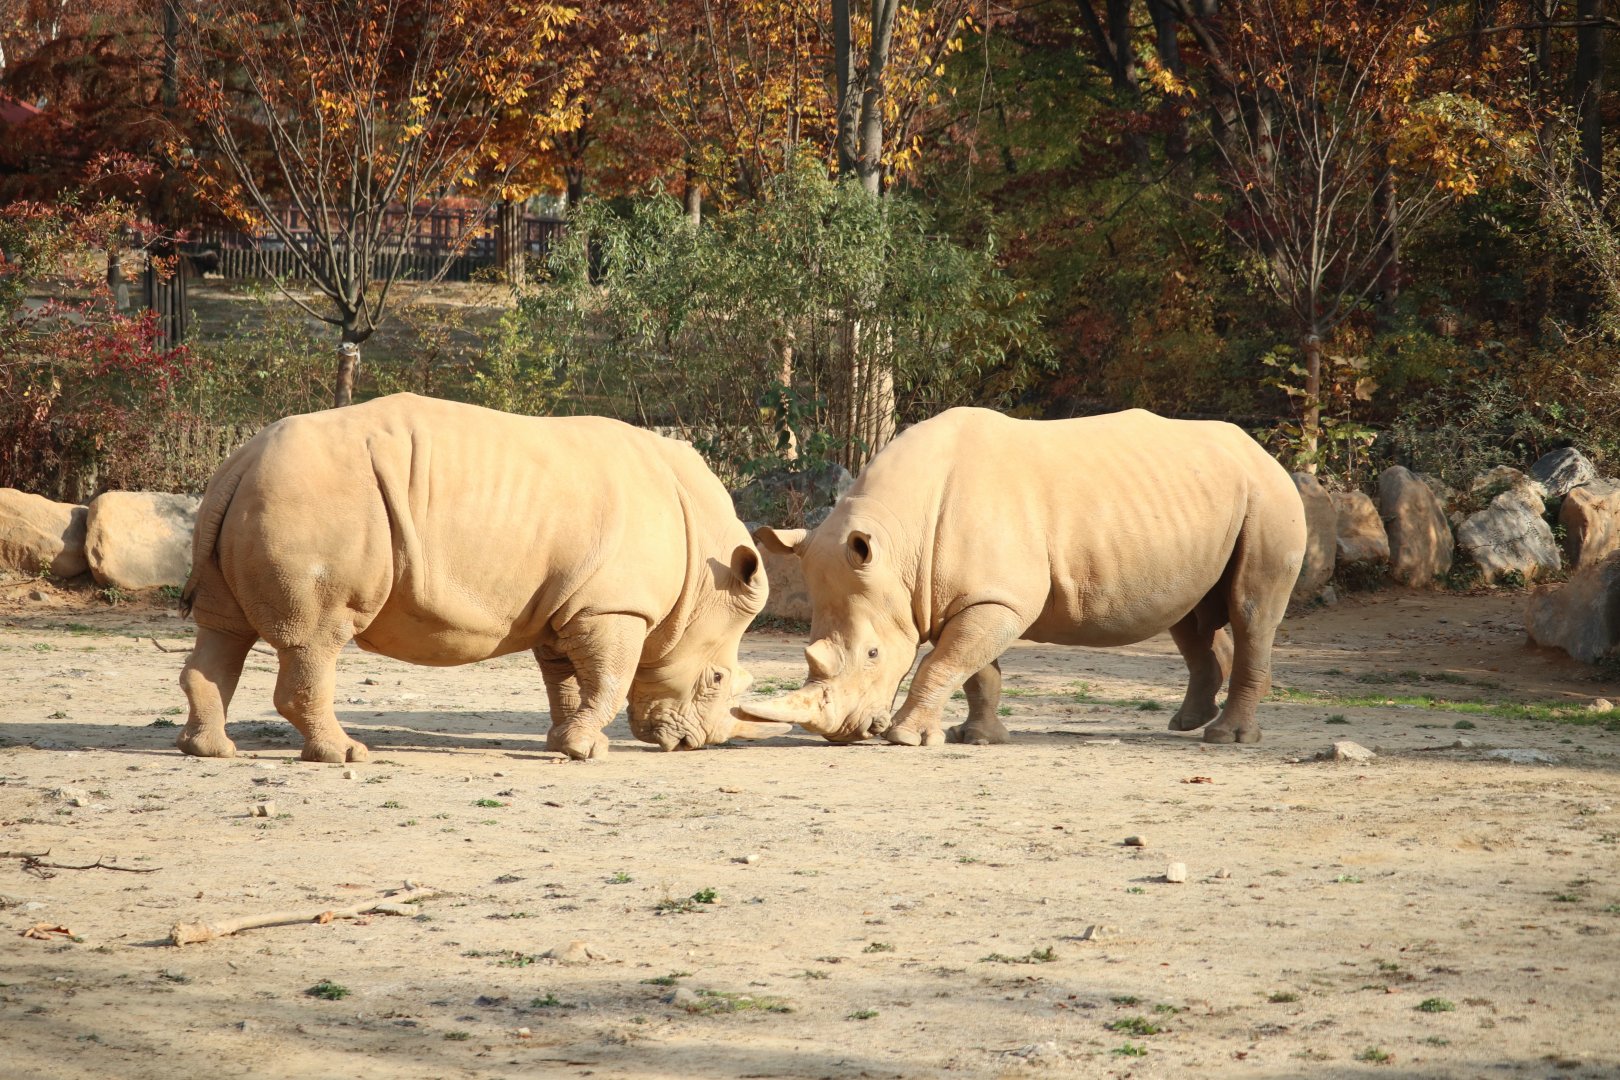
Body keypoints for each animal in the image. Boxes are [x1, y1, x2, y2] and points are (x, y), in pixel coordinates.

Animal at [177, 394, 786, 762]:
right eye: (716, 680)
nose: (692, 743)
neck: (704, 578)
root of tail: (238, 462)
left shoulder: (566, 605)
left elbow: (565, 679)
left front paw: (561, 742)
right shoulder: (612, 605)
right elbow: (609, 680)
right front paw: (586, 751)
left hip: (254, 493)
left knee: (223, 630)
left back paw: (210, 751)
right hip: (313, 501)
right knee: (317, 637)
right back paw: (347, 756)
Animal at [742, 407, 1306, 746]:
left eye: (874, 654)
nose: (844, 733)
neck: (899, 546)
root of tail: (1262, 450)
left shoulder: (997, 600)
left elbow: (943, 664)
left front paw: (905, 738)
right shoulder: (971, 596)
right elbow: (974, 670)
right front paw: (978, 738)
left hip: (1270, 496)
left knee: (1251, 610)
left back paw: (1227, 738)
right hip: (1194, 507)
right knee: (1189, 614)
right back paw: (1188, 722)